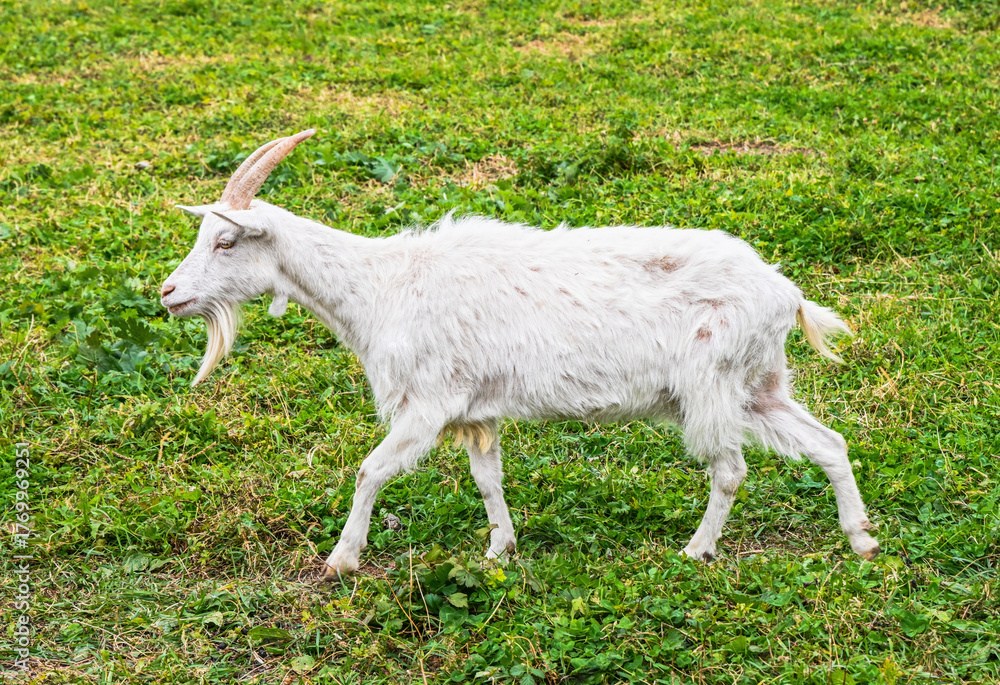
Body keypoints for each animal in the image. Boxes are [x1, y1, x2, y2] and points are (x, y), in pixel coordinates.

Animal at [160, 129, 880, 579]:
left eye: (226, 242)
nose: (168, 293)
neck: (379, 286)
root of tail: (786, 293)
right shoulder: (476, 411)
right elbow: (488, 479)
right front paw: (499, 550)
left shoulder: (428, 403)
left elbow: (370, 470)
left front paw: (342, 559)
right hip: (759, 384)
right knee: (828, 442)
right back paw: (862, 538)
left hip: (713, 381)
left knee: (729, 469)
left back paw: (696, 550)